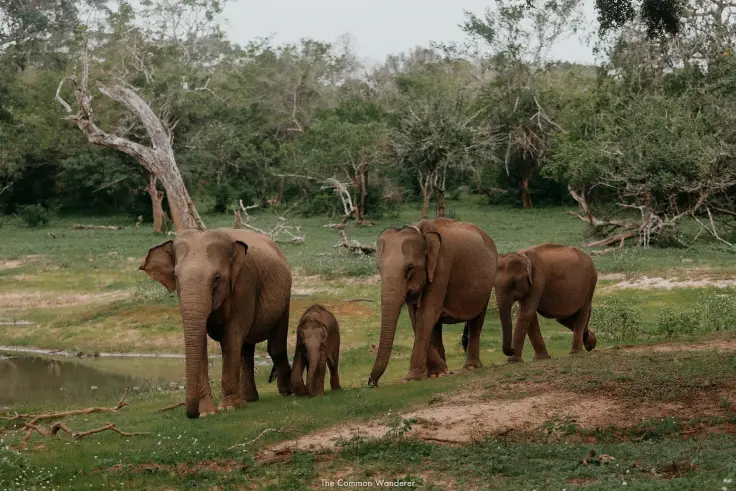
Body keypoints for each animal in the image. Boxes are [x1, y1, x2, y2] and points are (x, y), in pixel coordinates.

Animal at [139, 230, 292, 418]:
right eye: (175, 276)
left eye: (217, 278)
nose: (192, 414)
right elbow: (202, 343)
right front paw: (207, 413)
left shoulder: (245, 284)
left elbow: (232, 337)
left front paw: (228, 408)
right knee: (246, 350)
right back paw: (248, 399)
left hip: (286, 297)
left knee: (275, 348)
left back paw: (285, 392)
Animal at [370, 219, 498, 388]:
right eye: (378, 267)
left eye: (410, 268)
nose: (371, 383)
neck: (422, 232)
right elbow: (416, 318)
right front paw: (437, 372)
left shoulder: (442, 266)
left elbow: (426, 315)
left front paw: (411, 379)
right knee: (437, 326)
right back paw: (439, 372)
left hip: (488, 282)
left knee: (477, 318)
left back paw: (471, 367)